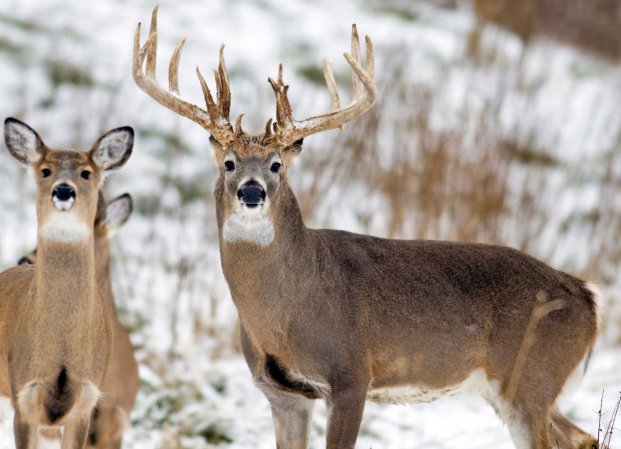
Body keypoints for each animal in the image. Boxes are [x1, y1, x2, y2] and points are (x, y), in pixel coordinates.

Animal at [133, 7, 600, 448]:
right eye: (229, 163)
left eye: (276, 165)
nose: (252, 192)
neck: (287, 308)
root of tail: (588, 299)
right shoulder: (281, 392)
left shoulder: (351, 375)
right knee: (581, 436)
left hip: (530, 381)